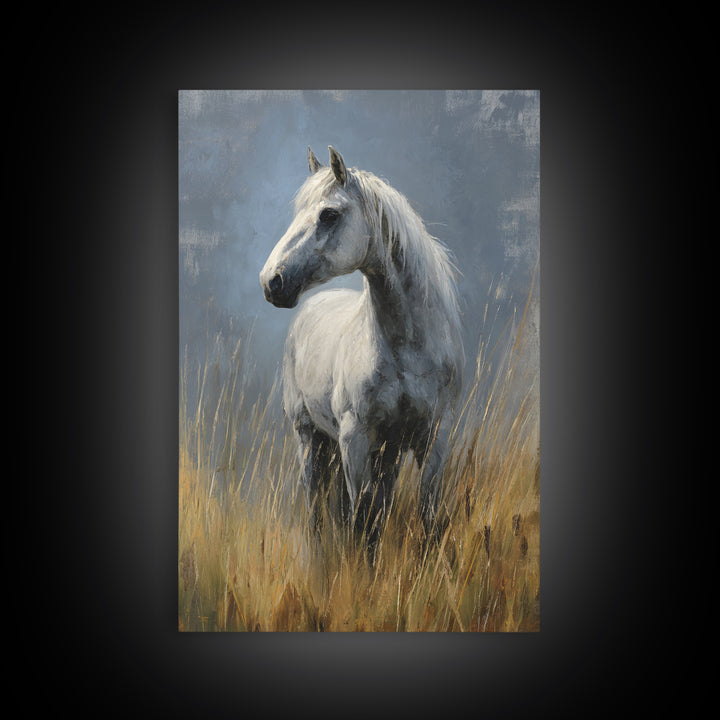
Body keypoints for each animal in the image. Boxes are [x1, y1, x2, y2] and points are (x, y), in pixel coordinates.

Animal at [260, 146, 464, 550]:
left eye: (329, 214)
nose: (271, 281)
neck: (407, 347)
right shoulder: (354, 440)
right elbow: (361, 524)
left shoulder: (434, 438)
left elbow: (426, 518)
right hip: (310, 439)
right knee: (316, 511)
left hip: (385, 452)